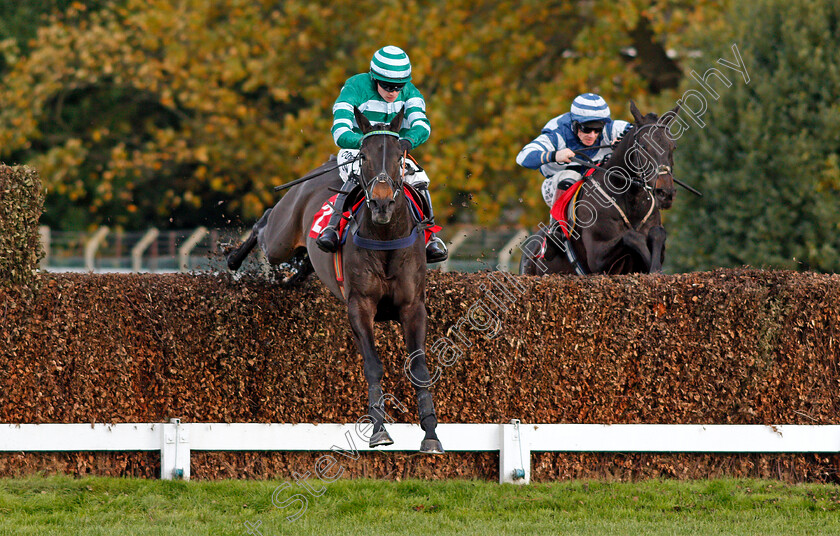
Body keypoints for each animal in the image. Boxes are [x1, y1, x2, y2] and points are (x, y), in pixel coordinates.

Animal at [226, 107, 442, 454]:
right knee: (265, 224)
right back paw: (234, 259)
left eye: (400, 156)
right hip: (281, 237)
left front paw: (431, 434)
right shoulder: (360, 305)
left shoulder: (413, 307)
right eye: (364, 156)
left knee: (301, 266)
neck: (385, 237)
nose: (382, 203)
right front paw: (379, 429)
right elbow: (373, 364)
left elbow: (419, 368)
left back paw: (288, 278)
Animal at [520, 101, 684, 276]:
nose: (665, 193)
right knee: (566, 178)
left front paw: (656, 268)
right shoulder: (597, 259)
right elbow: (631, 236)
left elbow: (658, 233)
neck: (630, 201)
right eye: (644, 146)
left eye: (673, 146)